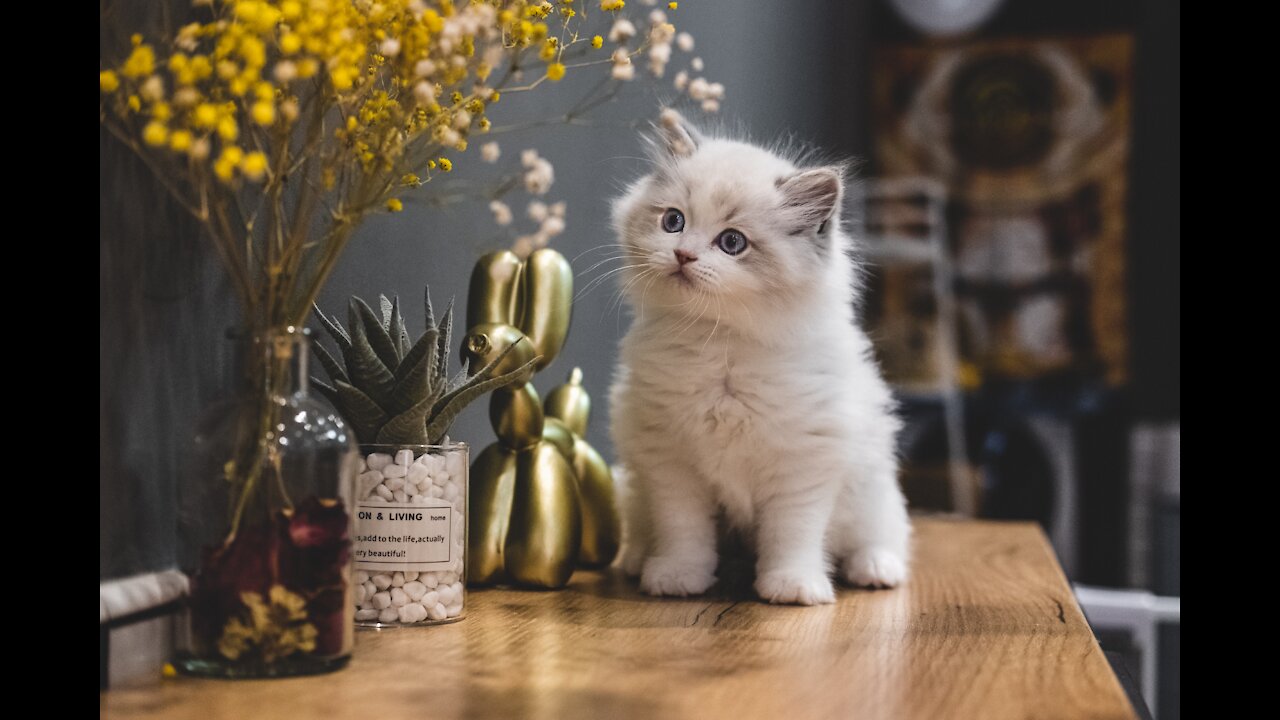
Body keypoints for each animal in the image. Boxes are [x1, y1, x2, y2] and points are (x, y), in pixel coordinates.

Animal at [606, 109, 911, 602]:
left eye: (732, 243)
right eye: (673, 221)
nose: (683, 254)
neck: (721, 345)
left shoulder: (802, 464)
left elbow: (792, 533)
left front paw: (793, 587)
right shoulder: (670, 461)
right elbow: (683, 530)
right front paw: (676, 577)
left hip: (872, 488)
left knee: (883, 535)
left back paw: (876, 569)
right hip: (635, 486)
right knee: (640, 527)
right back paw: (637, 561)